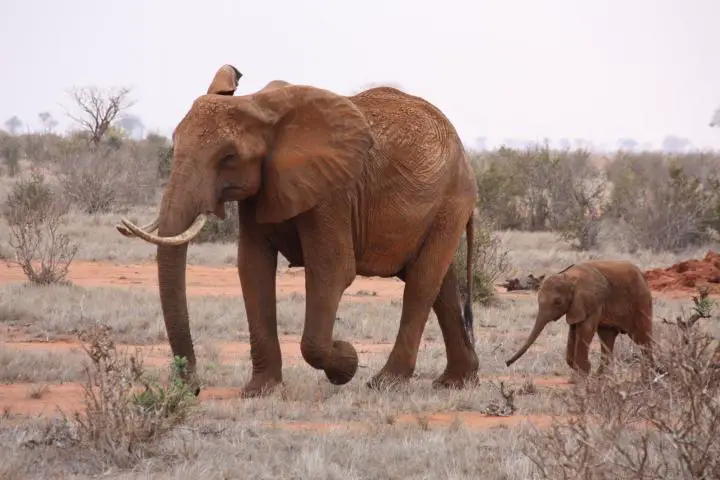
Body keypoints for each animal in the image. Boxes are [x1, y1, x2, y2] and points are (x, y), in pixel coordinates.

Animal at [116, 63, 478, 396]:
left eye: (229, 156)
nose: (191, 386)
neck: (260, 107)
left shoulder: (331, 192)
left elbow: (332, 270)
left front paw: (346, 362)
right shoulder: (261, 188)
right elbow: (253, 268)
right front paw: (259, 391)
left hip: (451, 200)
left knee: (420, 284)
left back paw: (384, 383)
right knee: (441, 285)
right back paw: (455, 382)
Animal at [506, 260, 652, 376]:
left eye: (557, 302)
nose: (507, 363)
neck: (569, 277)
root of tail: (642, 276)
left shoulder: (592, 302)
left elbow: (585, 330)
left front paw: (584, 374)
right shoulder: (576, 307)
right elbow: (573, 331)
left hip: (641, 302)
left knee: (643, 338)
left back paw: (647, 378)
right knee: (607, 337)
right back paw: (601, 378)